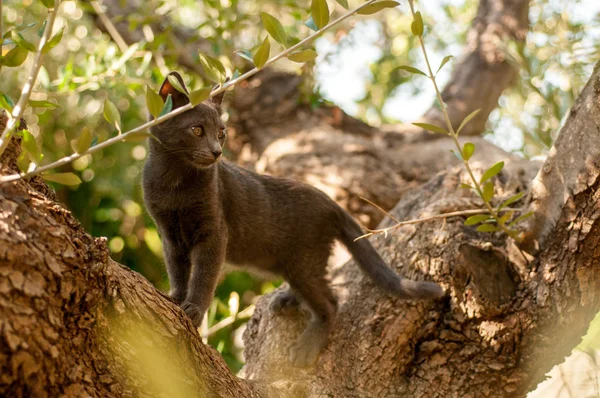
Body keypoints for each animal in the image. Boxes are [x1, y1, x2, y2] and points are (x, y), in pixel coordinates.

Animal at [139, 72, 440, 366]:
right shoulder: (169, 234)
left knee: (330, 301)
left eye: (221, 133)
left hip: (303, 261)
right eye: (197, 130)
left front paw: (194, 309)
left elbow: (203, 276)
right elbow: (178, 270)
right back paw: (287, 300)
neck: (174, 182)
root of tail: (328, 201)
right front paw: (174, 298)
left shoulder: (213, 234)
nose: (216, 151)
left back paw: (307, 347)